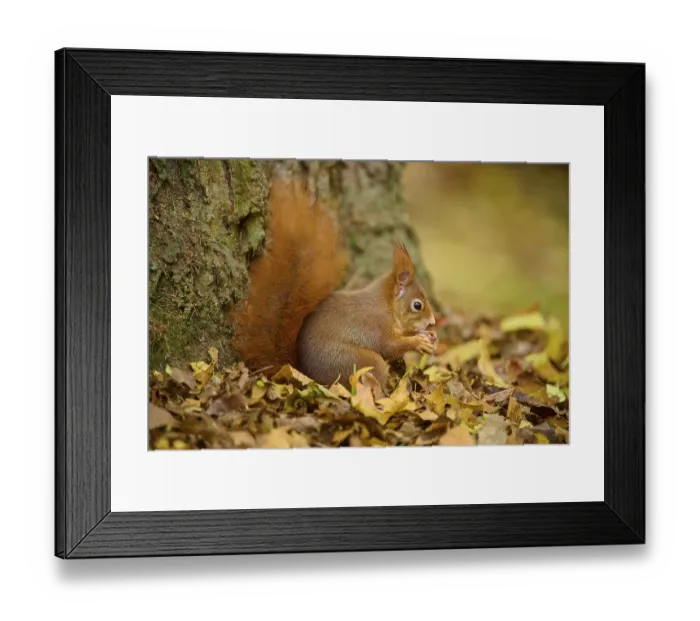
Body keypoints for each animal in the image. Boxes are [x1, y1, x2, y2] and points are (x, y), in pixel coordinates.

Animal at [230, 179, 437, 389]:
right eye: (417, 305)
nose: (432, 323)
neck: (387, 305)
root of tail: (308, 375)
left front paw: (428, 336)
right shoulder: (377, 324)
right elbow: (388, 345)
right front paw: (418, 343)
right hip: (360, 361)